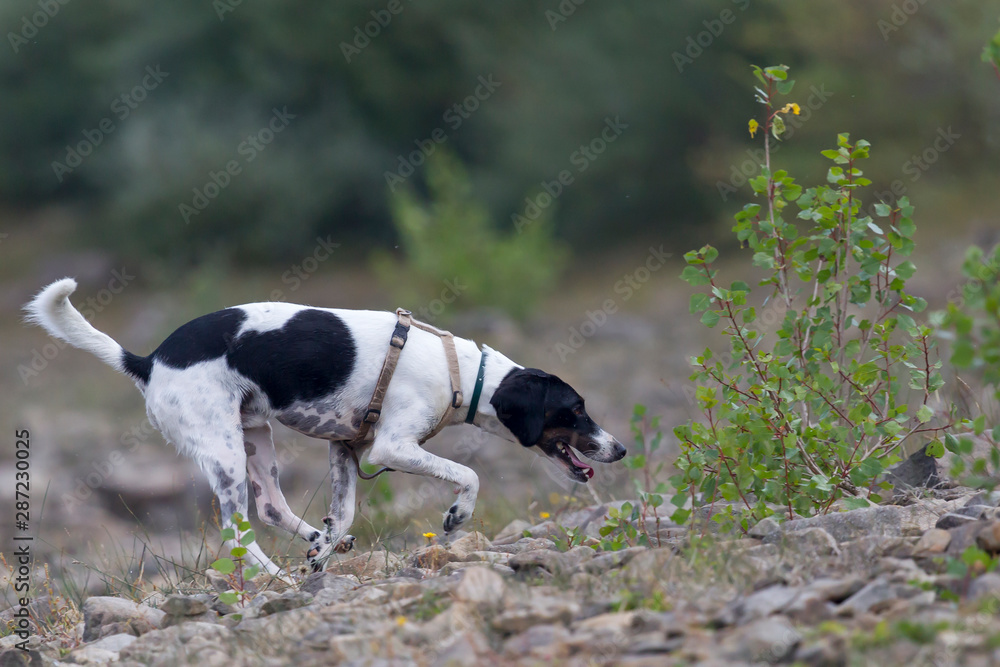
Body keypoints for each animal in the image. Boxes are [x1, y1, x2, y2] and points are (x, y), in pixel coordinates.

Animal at [25, 280, 624, 576]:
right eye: (575, 410)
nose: (618, 448)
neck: (462, 374)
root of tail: (148, 361)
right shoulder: (391, 447)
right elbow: (469, 474)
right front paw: (457, 514)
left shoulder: (346, 449)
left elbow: (347, 511)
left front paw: (327, 545)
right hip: (223, 452)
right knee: (237, 531)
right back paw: (277, 576)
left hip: (254, 438)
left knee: (270, 508)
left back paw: (313, 542)